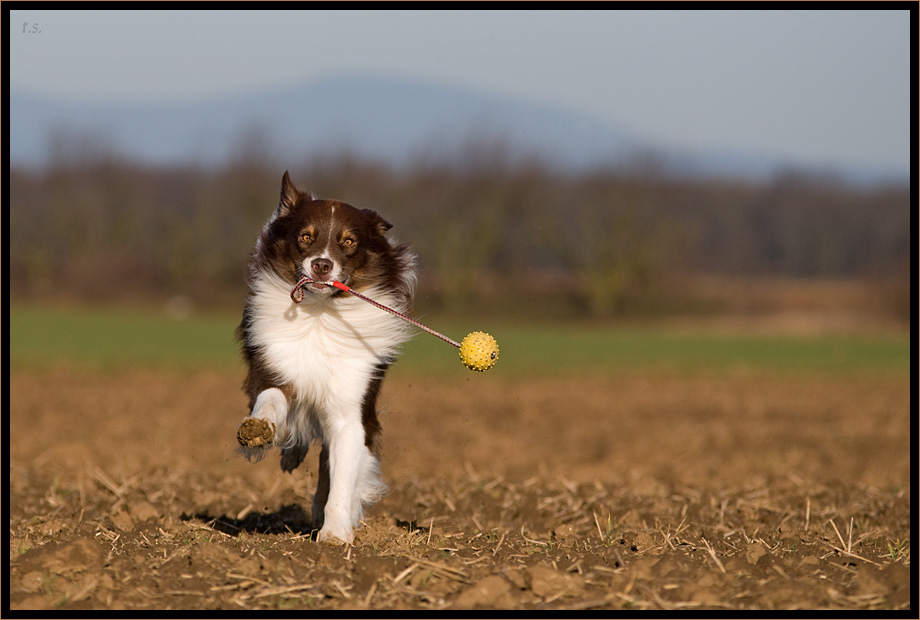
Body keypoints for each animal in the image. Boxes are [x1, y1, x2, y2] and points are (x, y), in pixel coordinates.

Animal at [235, 170, 416, 544]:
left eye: (348, 241)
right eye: (306, 236)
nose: (321, 264)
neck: (320, 313)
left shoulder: (351, 407)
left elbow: (342, 473)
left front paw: (335, 534)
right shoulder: (275, 368)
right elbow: (271, 399)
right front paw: (258, 431)